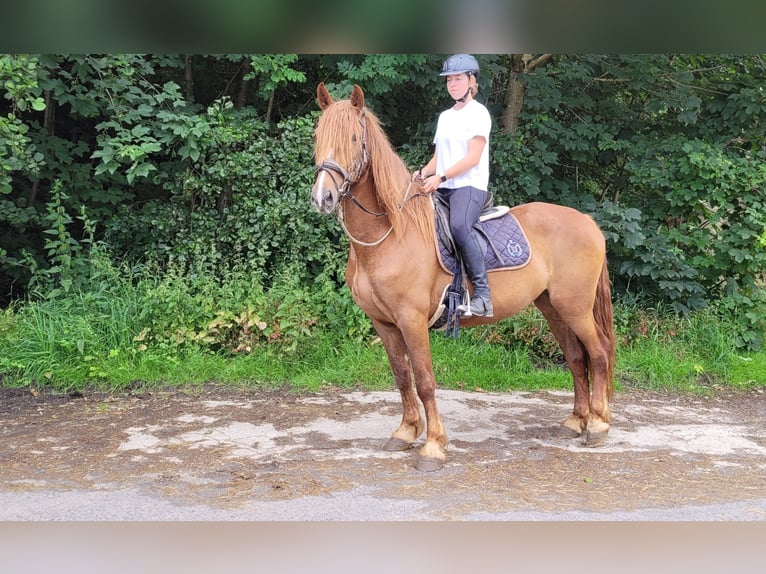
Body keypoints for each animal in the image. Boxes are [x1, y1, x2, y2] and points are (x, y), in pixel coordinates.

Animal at [308, 85, 616, 472]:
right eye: (318, 136)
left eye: (352, 138)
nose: (323, 197)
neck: (391, 233)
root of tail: (587, 222)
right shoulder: (384, 322)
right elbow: (402, 376)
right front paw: (406, 432)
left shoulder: (411, 320)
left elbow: (425, 380)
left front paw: (433, 447)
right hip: (553, 307)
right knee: (577, 358)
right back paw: (576, 421)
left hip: (574, 306)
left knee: (599, 353)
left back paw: (599, 425)